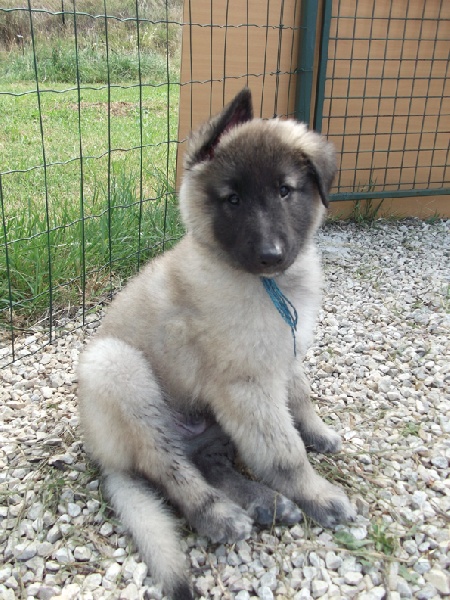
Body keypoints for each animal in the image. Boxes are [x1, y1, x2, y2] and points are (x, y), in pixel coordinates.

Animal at [78, 88, 355, 599]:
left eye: (285, 191)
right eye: (233, 199)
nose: (271, 254)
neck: (269, 284)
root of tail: (104, 457)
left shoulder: (285, 353)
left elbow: (301, 397)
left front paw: (318, 432)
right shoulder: (248, 387)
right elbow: (284, 453)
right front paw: (318, 495)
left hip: (208, 425)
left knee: (208, 462)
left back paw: (264, 502)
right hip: (117, 370)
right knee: (170, 470)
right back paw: (222, 515)